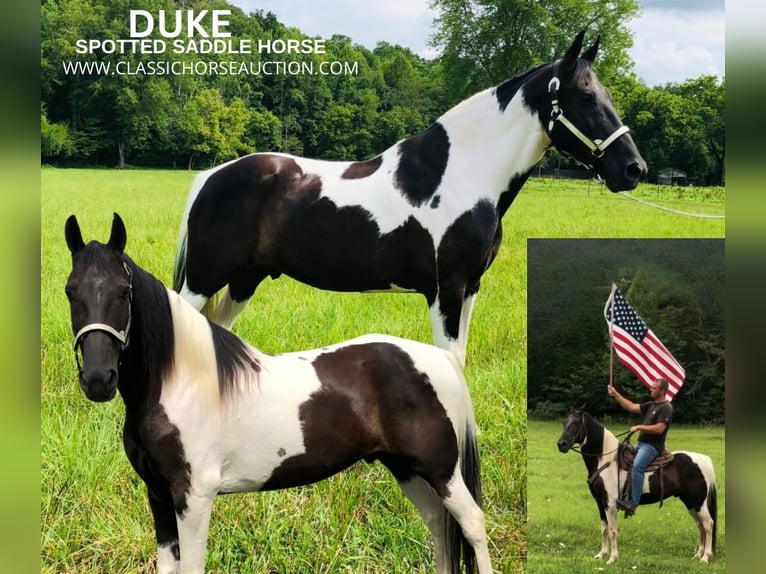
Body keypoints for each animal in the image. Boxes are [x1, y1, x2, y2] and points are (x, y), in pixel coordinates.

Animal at [61, 214, 492, 572]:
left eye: (123, 291)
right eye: (70, 291)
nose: (98, 379)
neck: (180, 384)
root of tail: (441, 360)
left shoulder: (194, 497)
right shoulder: (159, 495)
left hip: (440, 470)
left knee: (471, 523)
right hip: (405, 468)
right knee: (439, 525)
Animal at [174, 31, 648, 366]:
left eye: (607, 95)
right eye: (585, 96)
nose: (633, 169)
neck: (461, 173)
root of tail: (212, 177)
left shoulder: (470, 288)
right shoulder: (447, 289)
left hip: (243, 280)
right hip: (201, 280)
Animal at [556, 410, 716, 568]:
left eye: (577, 422)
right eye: (564, 422)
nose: (561, 444)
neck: (605, 461)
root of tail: (704, 460)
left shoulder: (610, 503)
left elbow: (612, 530)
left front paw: (612, 558)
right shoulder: (600, 502)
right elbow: (604, 528)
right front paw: (601, 554)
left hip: (698, 502)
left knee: (708, 524)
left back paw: (705, 557)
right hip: (691, 503)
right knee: (700, 525)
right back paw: (698, 555)